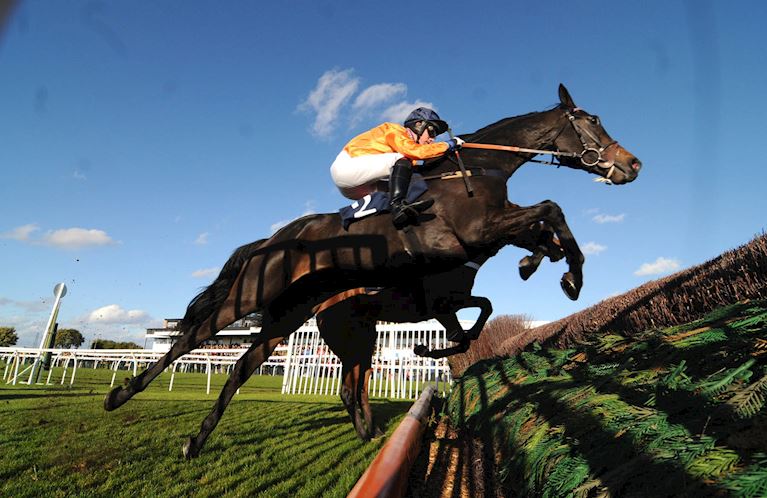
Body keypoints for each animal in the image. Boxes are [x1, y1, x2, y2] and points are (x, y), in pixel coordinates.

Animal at [104, 84, 642, 457]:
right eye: (591, 120)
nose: (632, 163)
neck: (476, 169)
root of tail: (273, 239)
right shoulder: (470, 238)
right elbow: (549, 209)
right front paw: (564, 273)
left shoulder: (486, 241)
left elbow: (541, 231)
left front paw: (555, 269)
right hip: (253, 295)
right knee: (192, 337)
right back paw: (122, 394)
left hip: (288, 314)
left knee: (243, 368)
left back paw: (198, 440)